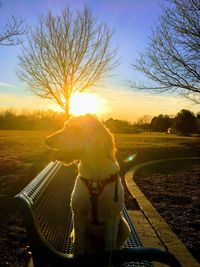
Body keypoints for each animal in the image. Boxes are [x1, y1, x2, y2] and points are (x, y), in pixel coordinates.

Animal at [45, 115, 130, 258]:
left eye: (75, 130)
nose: (46, 140)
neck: (95, 176)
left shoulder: (112, 217)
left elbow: (110, 246)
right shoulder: (78, 214)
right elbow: (79, 247)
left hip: (124, 227)